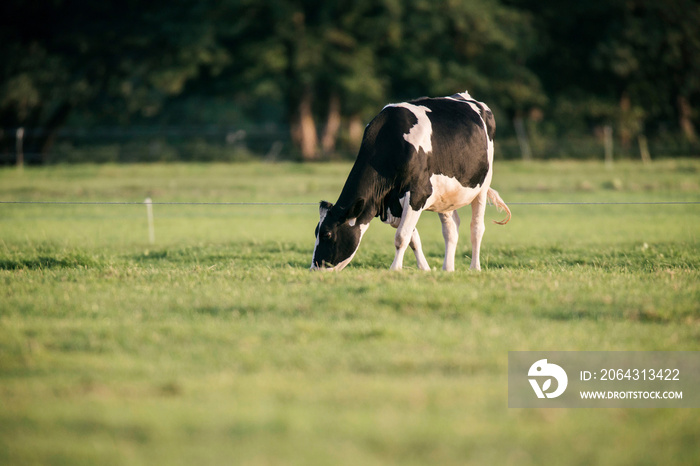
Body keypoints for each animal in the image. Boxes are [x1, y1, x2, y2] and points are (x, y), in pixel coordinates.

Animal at [310, 90, 508, 272]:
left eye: (327, 234)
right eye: (316, 232)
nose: (314, 269)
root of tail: (465, 96)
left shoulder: (417, 193)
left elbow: (401, 237)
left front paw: (395, 269)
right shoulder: (394, 204)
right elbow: (413, 238)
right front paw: (424, 269)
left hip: (482, 186)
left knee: (476, 228)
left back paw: (475, 268)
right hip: (444, 197)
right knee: (450, 230)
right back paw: (447, 269)